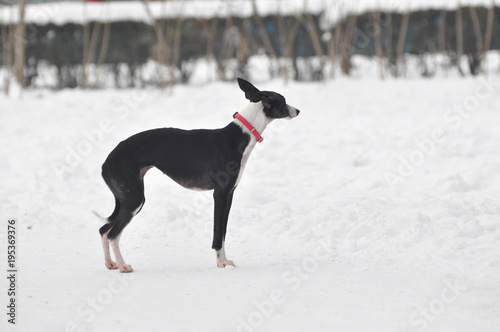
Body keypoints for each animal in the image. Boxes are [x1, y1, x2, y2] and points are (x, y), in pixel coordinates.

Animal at [95, 78, 300, 272]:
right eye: (283, 101)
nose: (298, 110)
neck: (241, 134)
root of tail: (106, 162)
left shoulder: (229, 195)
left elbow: (223, 232)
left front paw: (224, 260)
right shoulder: (220, 195)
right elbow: (217, 233)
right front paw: (221, 262)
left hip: (127, 199)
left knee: (103, 230)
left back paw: (110, 263)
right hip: (134, 200)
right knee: (113, 234)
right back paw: (123, 265)